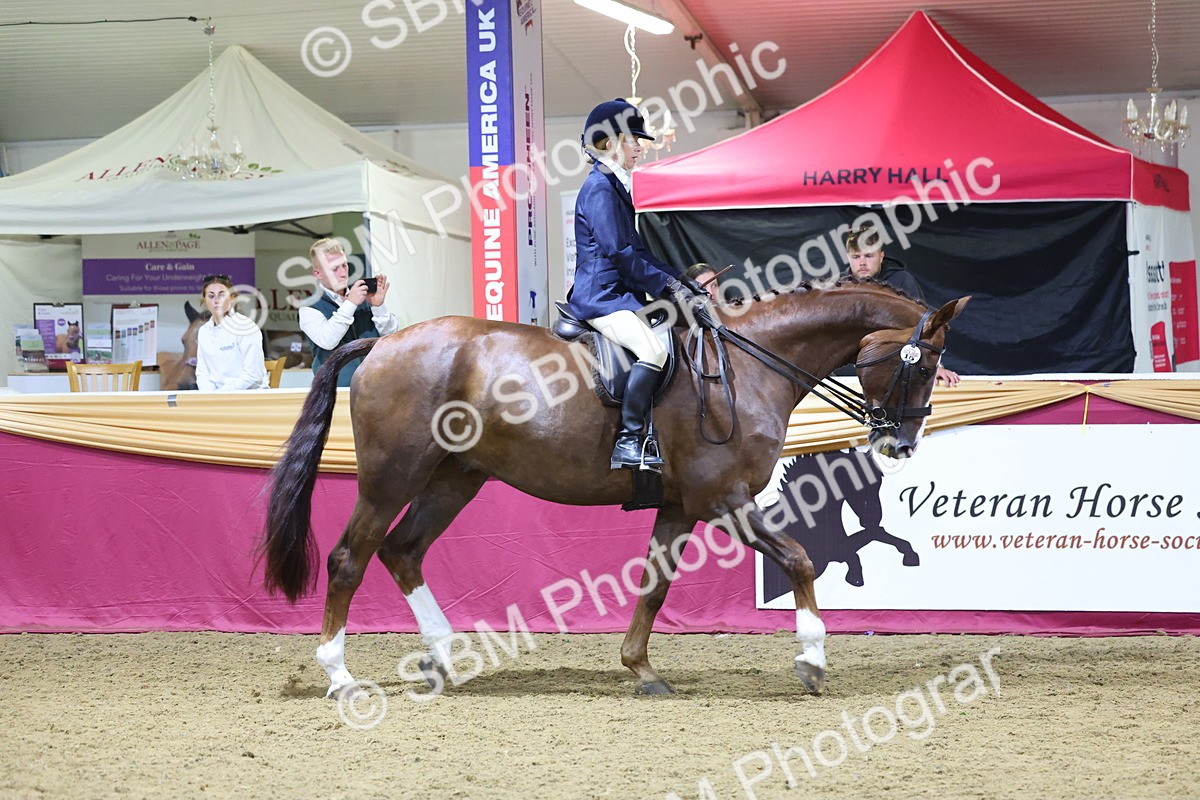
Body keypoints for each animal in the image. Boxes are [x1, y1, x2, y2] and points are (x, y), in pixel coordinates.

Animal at [261, 280, 968, 698]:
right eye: (927, 364)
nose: (901, 446)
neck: (749, 365)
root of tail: (381, 343)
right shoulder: (723, 500)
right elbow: (799, 558)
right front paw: (813, 661)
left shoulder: (681, 506)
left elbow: (655, 584)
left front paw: (641, 669)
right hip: (391, 479)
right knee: (350, 559)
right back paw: (340, 675)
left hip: (454, 479)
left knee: (403, 551)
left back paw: (445, 659)